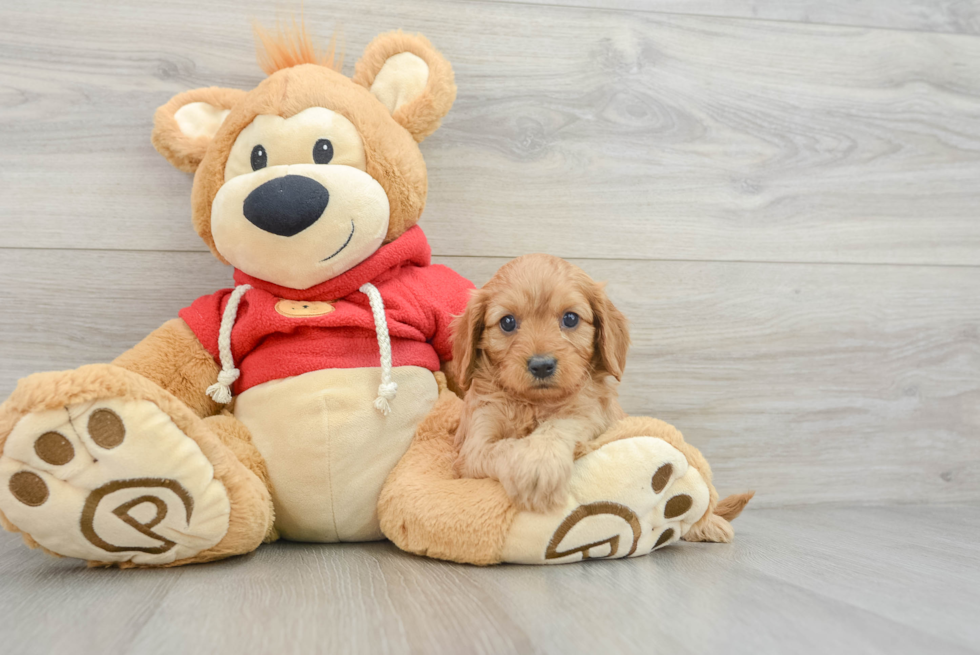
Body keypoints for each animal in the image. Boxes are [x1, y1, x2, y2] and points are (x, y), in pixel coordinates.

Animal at [450, 255, 628, 512]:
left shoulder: (590, 413)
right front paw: (531, 468)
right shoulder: (475, 444)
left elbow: (560, 424)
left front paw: (540, 462)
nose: (542, 366)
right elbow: (503, 448)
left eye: (570, 318)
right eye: (507, 322)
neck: (533, 404)